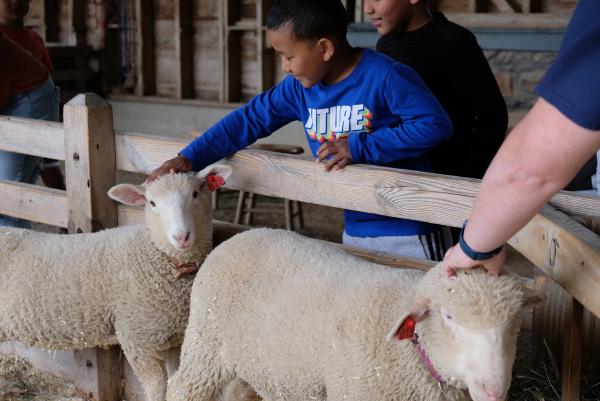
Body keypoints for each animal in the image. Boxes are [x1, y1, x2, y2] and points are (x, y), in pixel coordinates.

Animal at [0, 164, 232, 400]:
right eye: (152, 203)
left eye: (195, 194)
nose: (181, 237)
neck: (157, 255)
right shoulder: (137, 338)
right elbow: (157, 386)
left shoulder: (175, 338)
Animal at [168, 228, 540, 400]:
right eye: (449, 318)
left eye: (515, 325)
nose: (494, 390)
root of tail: (242, 235)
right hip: (205, 343)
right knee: (181, 387)